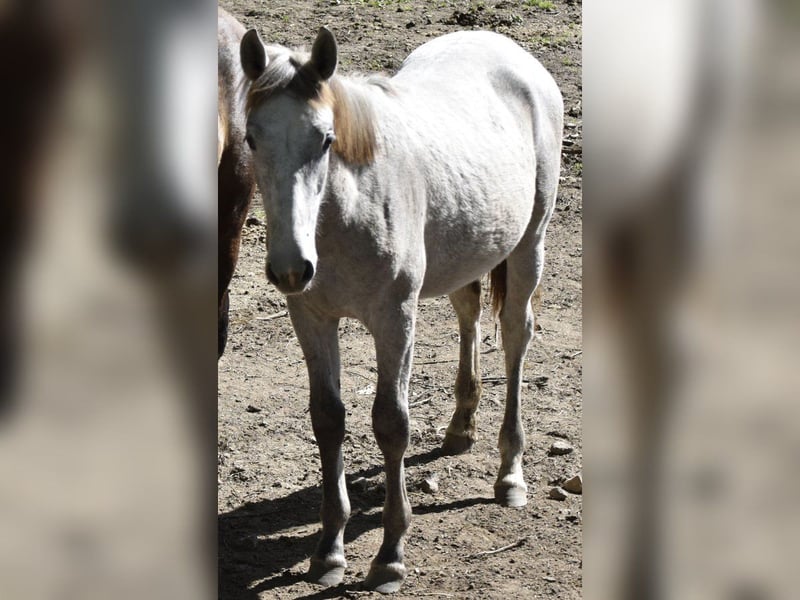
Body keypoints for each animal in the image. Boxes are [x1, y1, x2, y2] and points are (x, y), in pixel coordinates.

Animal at [240, 26, 563, 592]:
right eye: (252, 139)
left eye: (326, 139)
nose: (291, 268)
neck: (349, 212)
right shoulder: (312, 318)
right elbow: (328, 419)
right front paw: (328, 551)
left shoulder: (395, 319)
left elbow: (391, 423)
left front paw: (390, 556)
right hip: (466, 252)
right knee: (469, 313)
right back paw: (460, 429)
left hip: (529, 245)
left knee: (515, 337)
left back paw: (510, 475)